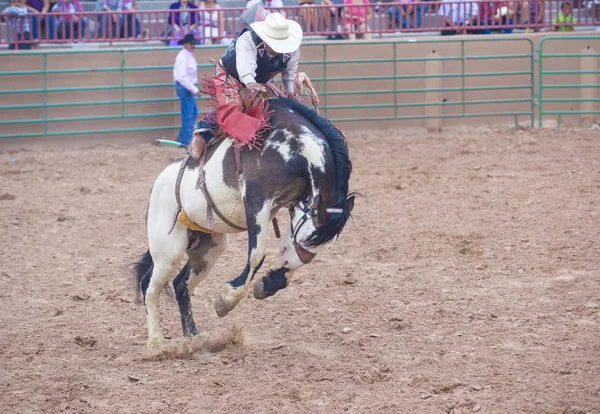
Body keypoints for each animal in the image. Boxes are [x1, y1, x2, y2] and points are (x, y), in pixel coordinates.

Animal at [134, 95, 354, 348]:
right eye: (309, 238)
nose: (287, 262)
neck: (290, 147)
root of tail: (159, 183)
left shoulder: (291, 204)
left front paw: (268, 284)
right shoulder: (257, 202)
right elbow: (257, 254)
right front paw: (227, 300)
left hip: (208, 248)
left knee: (181, 284)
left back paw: (194, 336)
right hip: (168, 249)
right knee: (149, 286)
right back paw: (156, 342)